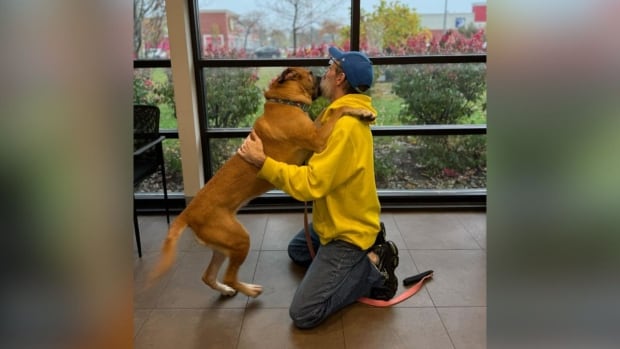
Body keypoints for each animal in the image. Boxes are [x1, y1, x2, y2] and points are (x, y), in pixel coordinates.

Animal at [148, 66, 376, 296]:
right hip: (240, 239)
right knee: (229, 276)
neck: (284, 101)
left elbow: (325, 113)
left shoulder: (315, 129)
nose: (323, 75)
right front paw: (361, 111)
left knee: (208, 276)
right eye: (311, 73)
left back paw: (226, 290)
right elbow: (338, 110)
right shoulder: (318, 139)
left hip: (222, 246)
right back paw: (249, 291)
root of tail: (188, 212)